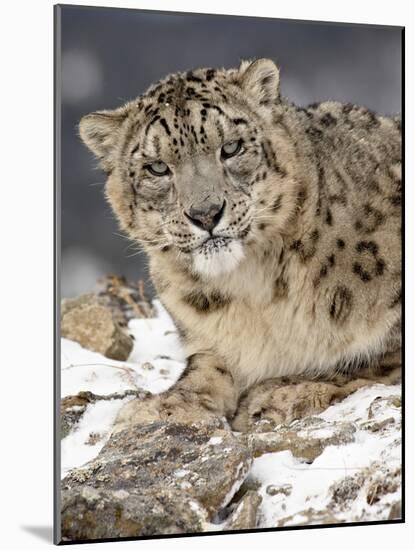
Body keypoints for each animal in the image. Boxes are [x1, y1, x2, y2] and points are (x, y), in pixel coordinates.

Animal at [79, 58, 402, 434]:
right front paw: (161, 407)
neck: (255, 291)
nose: (205, 213)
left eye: (231, 148)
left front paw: (280, 394)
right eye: (157, 167)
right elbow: (203, 370)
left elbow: (368, 360)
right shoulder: (211, 343)